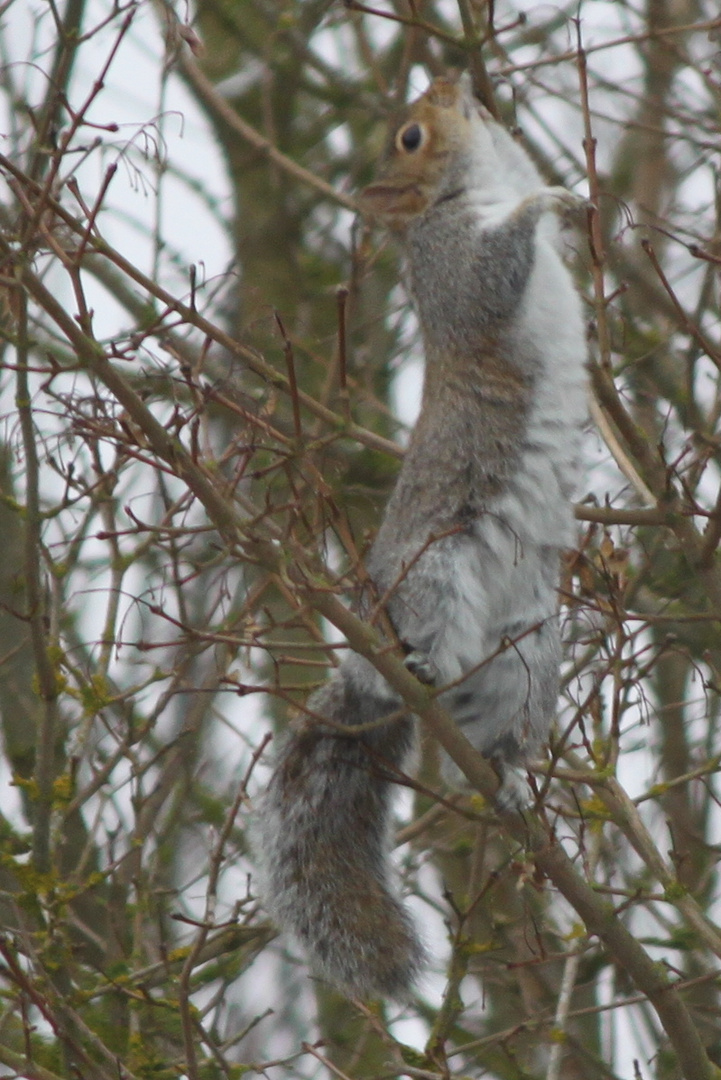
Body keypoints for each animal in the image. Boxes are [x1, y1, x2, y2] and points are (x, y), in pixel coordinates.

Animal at [253, 73, 587, 1002]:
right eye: (408, 137)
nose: (447, 83)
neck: (470, 190)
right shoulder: (451, 265)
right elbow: (492, 270)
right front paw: (545, 203)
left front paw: (562, 189)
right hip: (434, 572)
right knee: (418, 655)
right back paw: (423, 670)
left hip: (526, 651)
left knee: (499, 727)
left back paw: (508, 780)